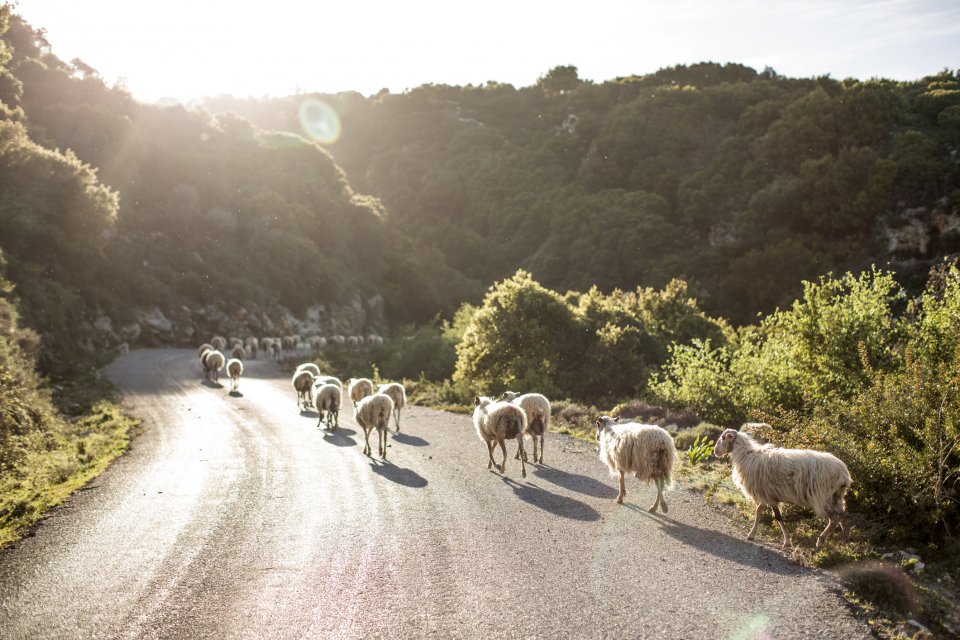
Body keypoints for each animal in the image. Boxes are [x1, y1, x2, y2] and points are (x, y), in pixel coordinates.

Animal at [708, 428, 852, 548]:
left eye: (723, 438)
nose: (715, 451)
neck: (746, 455)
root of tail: (844, 474)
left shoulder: (768, 495)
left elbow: (777, 516)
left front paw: (787, 541)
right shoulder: (768, 494)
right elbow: (759, 511)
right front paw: (752, 534)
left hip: (822, 497)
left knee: (834, 518)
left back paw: (821, 541)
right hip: (836, 496)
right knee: (843, 516)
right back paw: (845, 540)